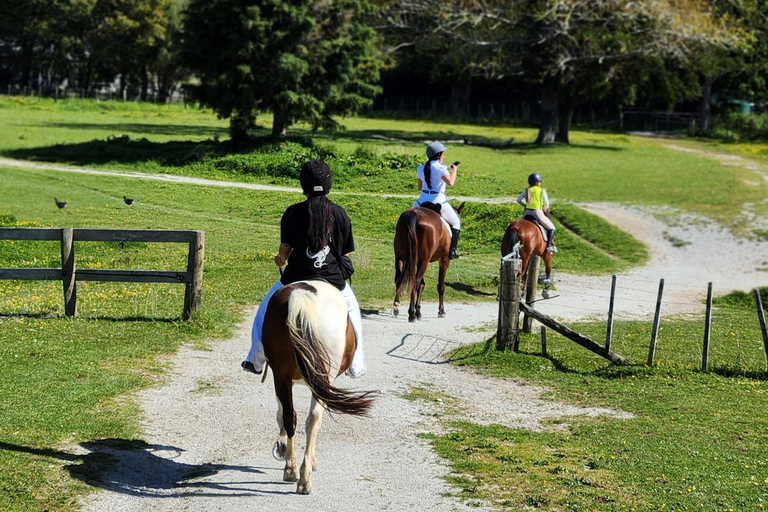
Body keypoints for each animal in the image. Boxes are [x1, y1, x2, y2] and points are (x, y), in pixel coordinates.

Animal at [261, 280, 376, 494]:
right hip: (323, 376)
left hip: (281, 374)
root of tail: (301, 296)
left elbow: (282, 414)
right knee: (313, 419)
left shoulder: (280, 376)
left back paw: (291, 469)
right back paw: (304, 478)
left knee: (290, 416)